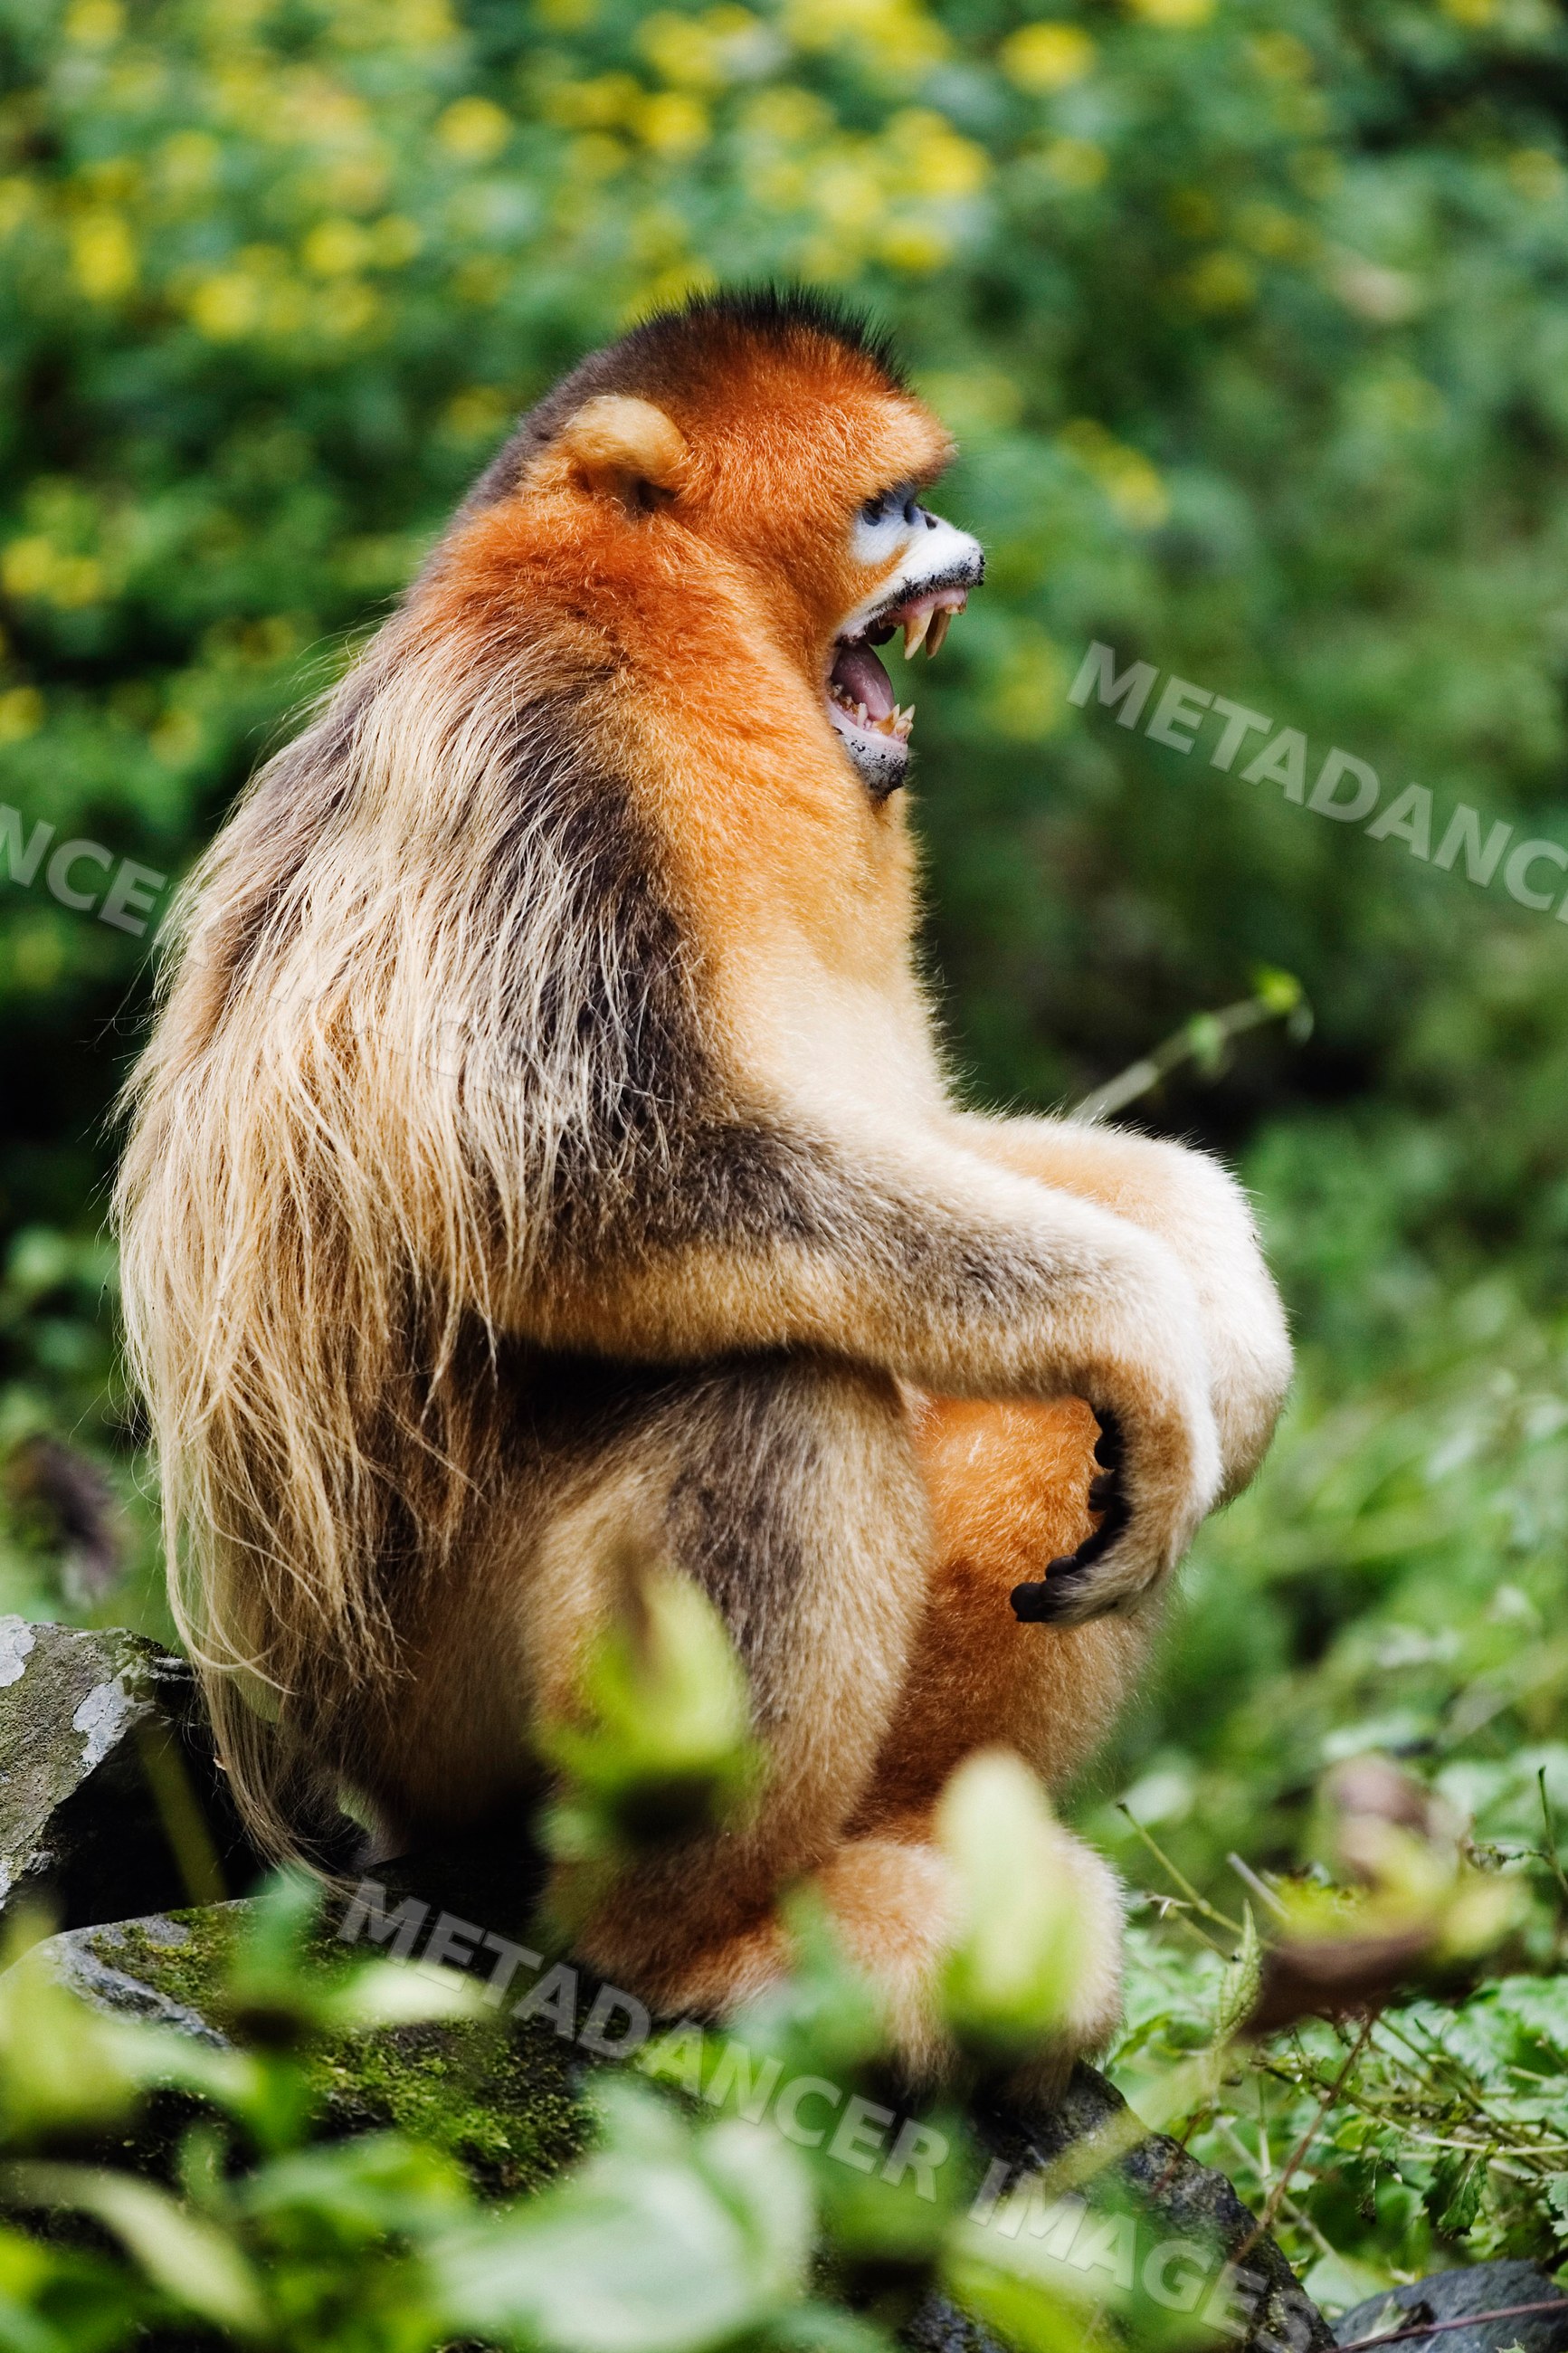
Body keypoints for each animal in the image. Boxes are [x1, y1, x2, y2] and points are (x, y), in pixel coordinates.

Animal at [115, 287, 1290, 2083]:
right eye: (887, 507)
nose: (963, 552)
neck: (678, 648)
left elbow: (919, 1134)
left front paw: (1219, 1299)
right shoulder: (541, 751)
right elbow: (586, 1186)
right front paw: (1151, 1315)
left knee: (1036, 1406)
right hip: (425, 1708)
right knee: (786, 1394)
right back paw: (678, 1953)